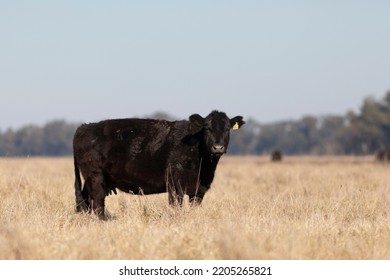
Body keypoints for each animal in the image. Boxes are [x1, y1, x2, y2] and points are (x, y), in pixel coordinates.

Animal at [72, 110, 244, 220]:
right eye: (207, 128)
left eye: (227, 129)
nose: (218, 147)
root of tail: (84, 127)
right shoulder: (175, 185)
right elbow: (175, 207)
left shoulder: (199, 190)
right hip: (95, 177)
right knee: (97, 203)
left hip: (90, 180)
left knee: (85, 203)